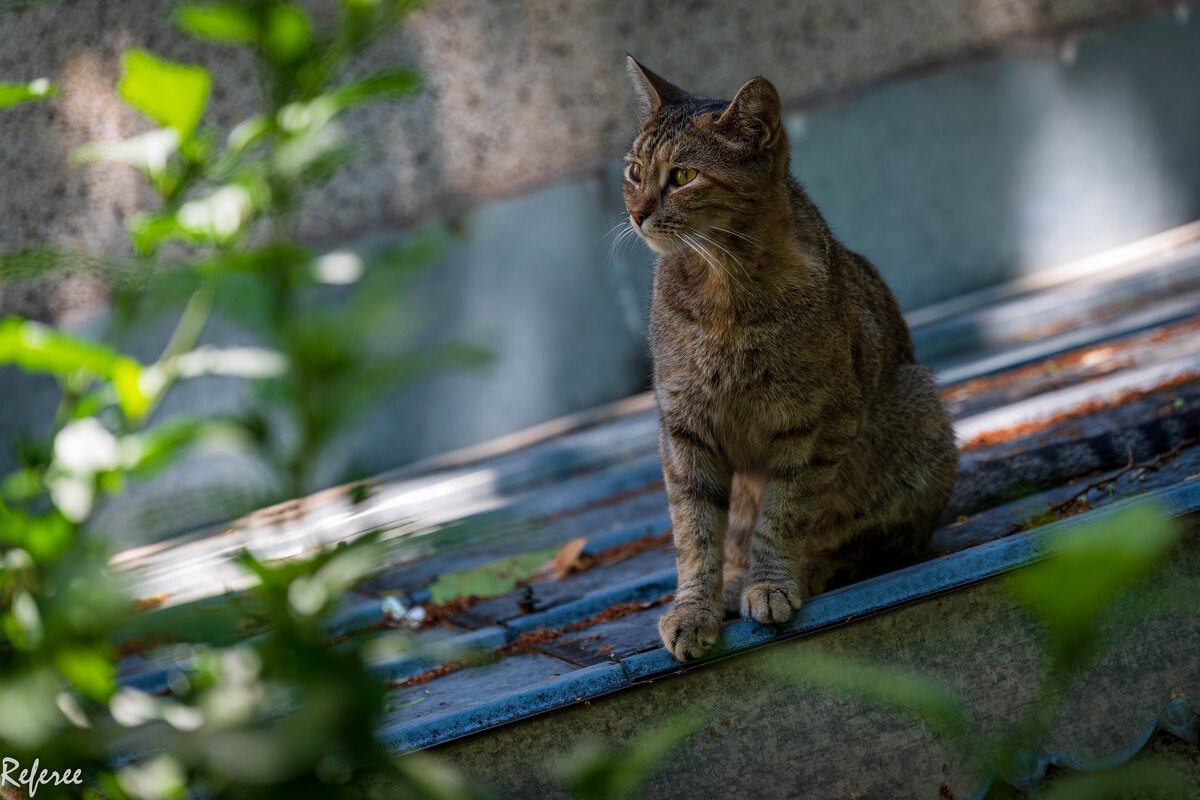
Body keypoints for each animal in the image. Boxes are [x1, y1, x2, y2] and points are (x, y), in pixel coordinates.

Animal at [624, 57, 960, 662]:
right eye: (635, 172)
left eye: (683, 176)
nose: (636, 213)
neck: (723, 289)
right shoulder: (683, 426)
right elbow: (694, 531)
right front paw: (694, 607)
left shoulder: (818, 422)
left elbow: (784, 514)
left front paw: (774, 582)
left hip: (919, 406)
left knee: (880, 541)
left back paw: (815, 567)